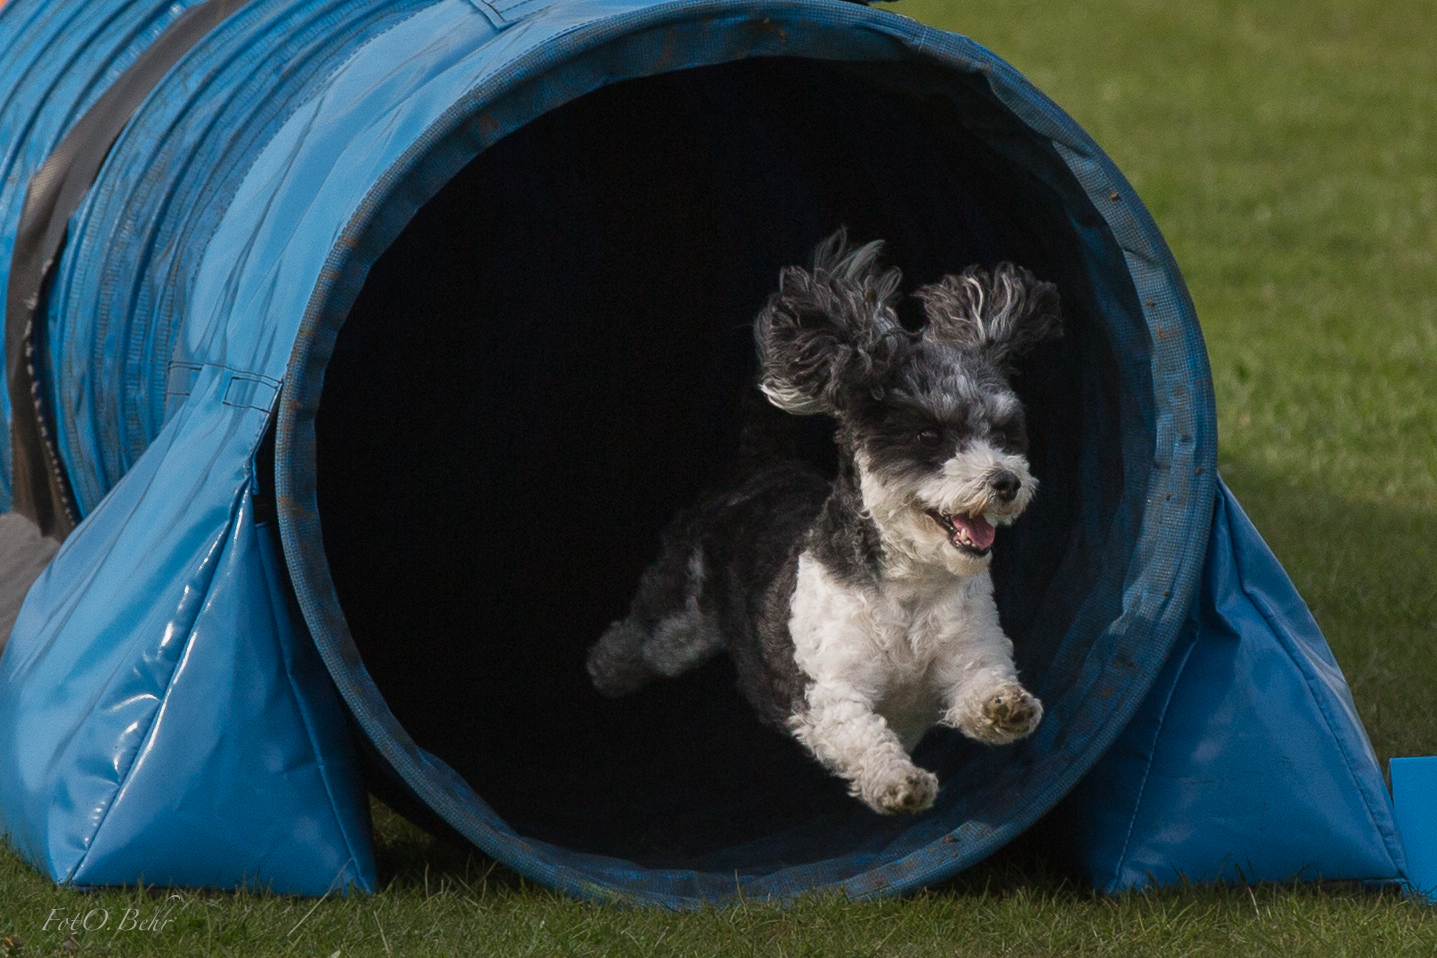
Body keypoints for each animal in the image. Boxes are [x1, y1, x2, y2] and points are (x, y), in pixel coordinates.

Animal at [586, 228, 1069, 815]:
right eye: (928, 435)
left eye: (1003, 433)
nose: (1005, 481)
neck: (906, 591)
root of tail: (762, 463)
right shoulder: (827, 692)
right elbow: (861, 735)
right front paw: (897, 782)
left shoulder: (972, 652)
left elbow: (984, 683)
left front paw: (1005, 707)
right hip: (682, 620)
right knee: (645, 637)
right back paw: (605, 670)